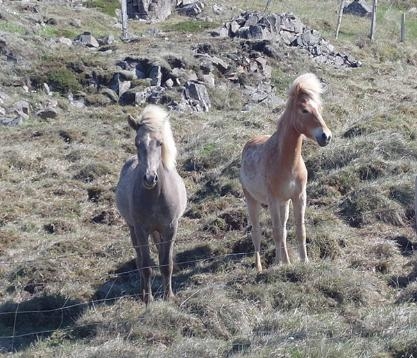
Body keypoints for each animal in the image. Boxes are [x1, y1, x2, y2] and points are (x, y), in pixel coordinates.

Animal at [114, 105, 185, 304]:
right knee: (139, 260)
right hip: (133, 229)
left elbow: (166, 263)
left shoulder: (170, 228)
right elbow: (145, 266)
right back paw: (142, 292)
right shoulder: (141, 230)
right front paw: (149, 299)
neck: (156, 197)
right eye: (137, 143)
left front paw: (169, 296)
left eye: (160, 143)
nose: (150, 178)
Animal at [239, 73, 330, 272]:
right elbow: (276, 233)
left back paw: (287, 261)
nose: (326, 136)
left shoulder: (299, 197)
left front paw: (303, 262)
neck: (286, 163)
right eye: (304, 110)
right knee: (257, 233)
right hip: (253, 202)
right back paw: (260, 268)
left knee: (283, 230)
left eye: (319, 108)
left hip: (284, 203)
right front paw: (278, 265)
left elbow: (298, 230)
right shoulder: (272, 200)